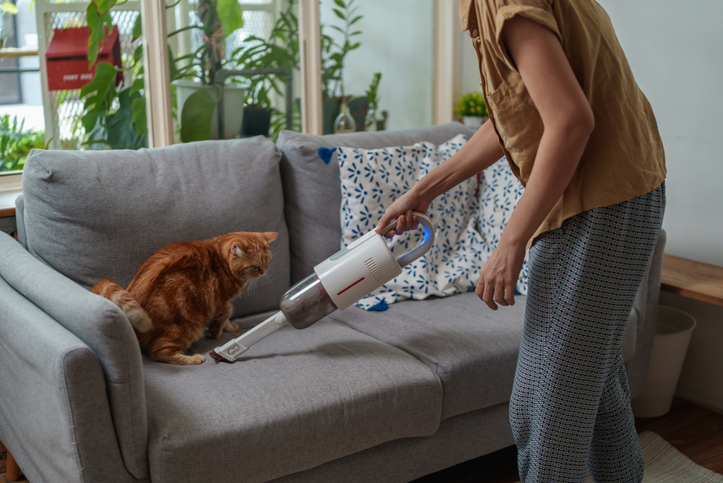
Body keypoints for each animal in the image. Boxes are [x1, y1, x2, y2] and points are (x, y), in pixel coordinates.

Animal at [92, 233, 278, 364]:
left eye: (267, 263)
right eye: (255, 266)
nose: (263, 272)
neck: (220, 259)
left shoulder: (221, 301)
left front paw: (228, 327)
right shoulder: (221, 300)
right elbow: (226, 313)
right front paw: (219, 331)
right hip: (187, 326)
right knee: (159, 353)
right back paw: (194, 359)